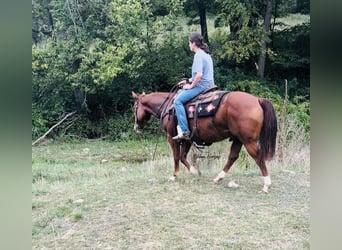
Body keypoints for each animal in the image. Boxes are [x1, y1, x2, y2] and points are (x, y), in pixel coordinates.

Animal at [131, 90, 278, 193]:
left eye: (134, 107)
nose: (136, 127)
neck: (169, 107)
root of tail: (257, 99)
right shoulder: (188, 139)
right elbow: (183, 157)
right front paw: (196, 172)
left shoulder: (171, 137)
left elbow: (177, 156)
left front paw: (174, 175)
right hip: (238, 139)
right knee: (232, 157)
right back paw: (218, 178)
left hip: (248, 141)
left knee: (258, 158)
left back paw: (266, 185)